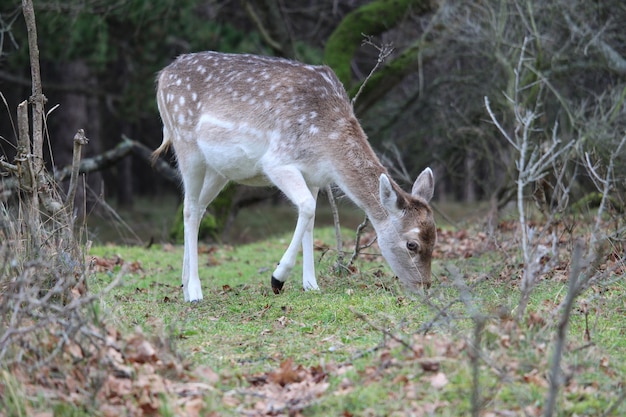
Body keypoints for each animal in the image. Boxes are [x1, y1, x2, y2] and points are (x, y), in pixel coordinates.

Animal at [151, 51, 434, 302]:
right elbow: (307, 207)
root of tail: (162, 75)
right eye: (412, 244)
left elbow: (310, 220)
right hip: (186, 145)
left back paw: (184, 286)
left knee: (198, 208)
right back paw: (195, 292)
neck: (326, 145)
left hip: (219, 170)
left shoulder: (314, 176)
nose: (424, 287)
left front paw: (311, 285)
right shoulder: (277, 161)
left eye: (435, 240)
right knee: (189, 208)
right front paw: (278, 279)